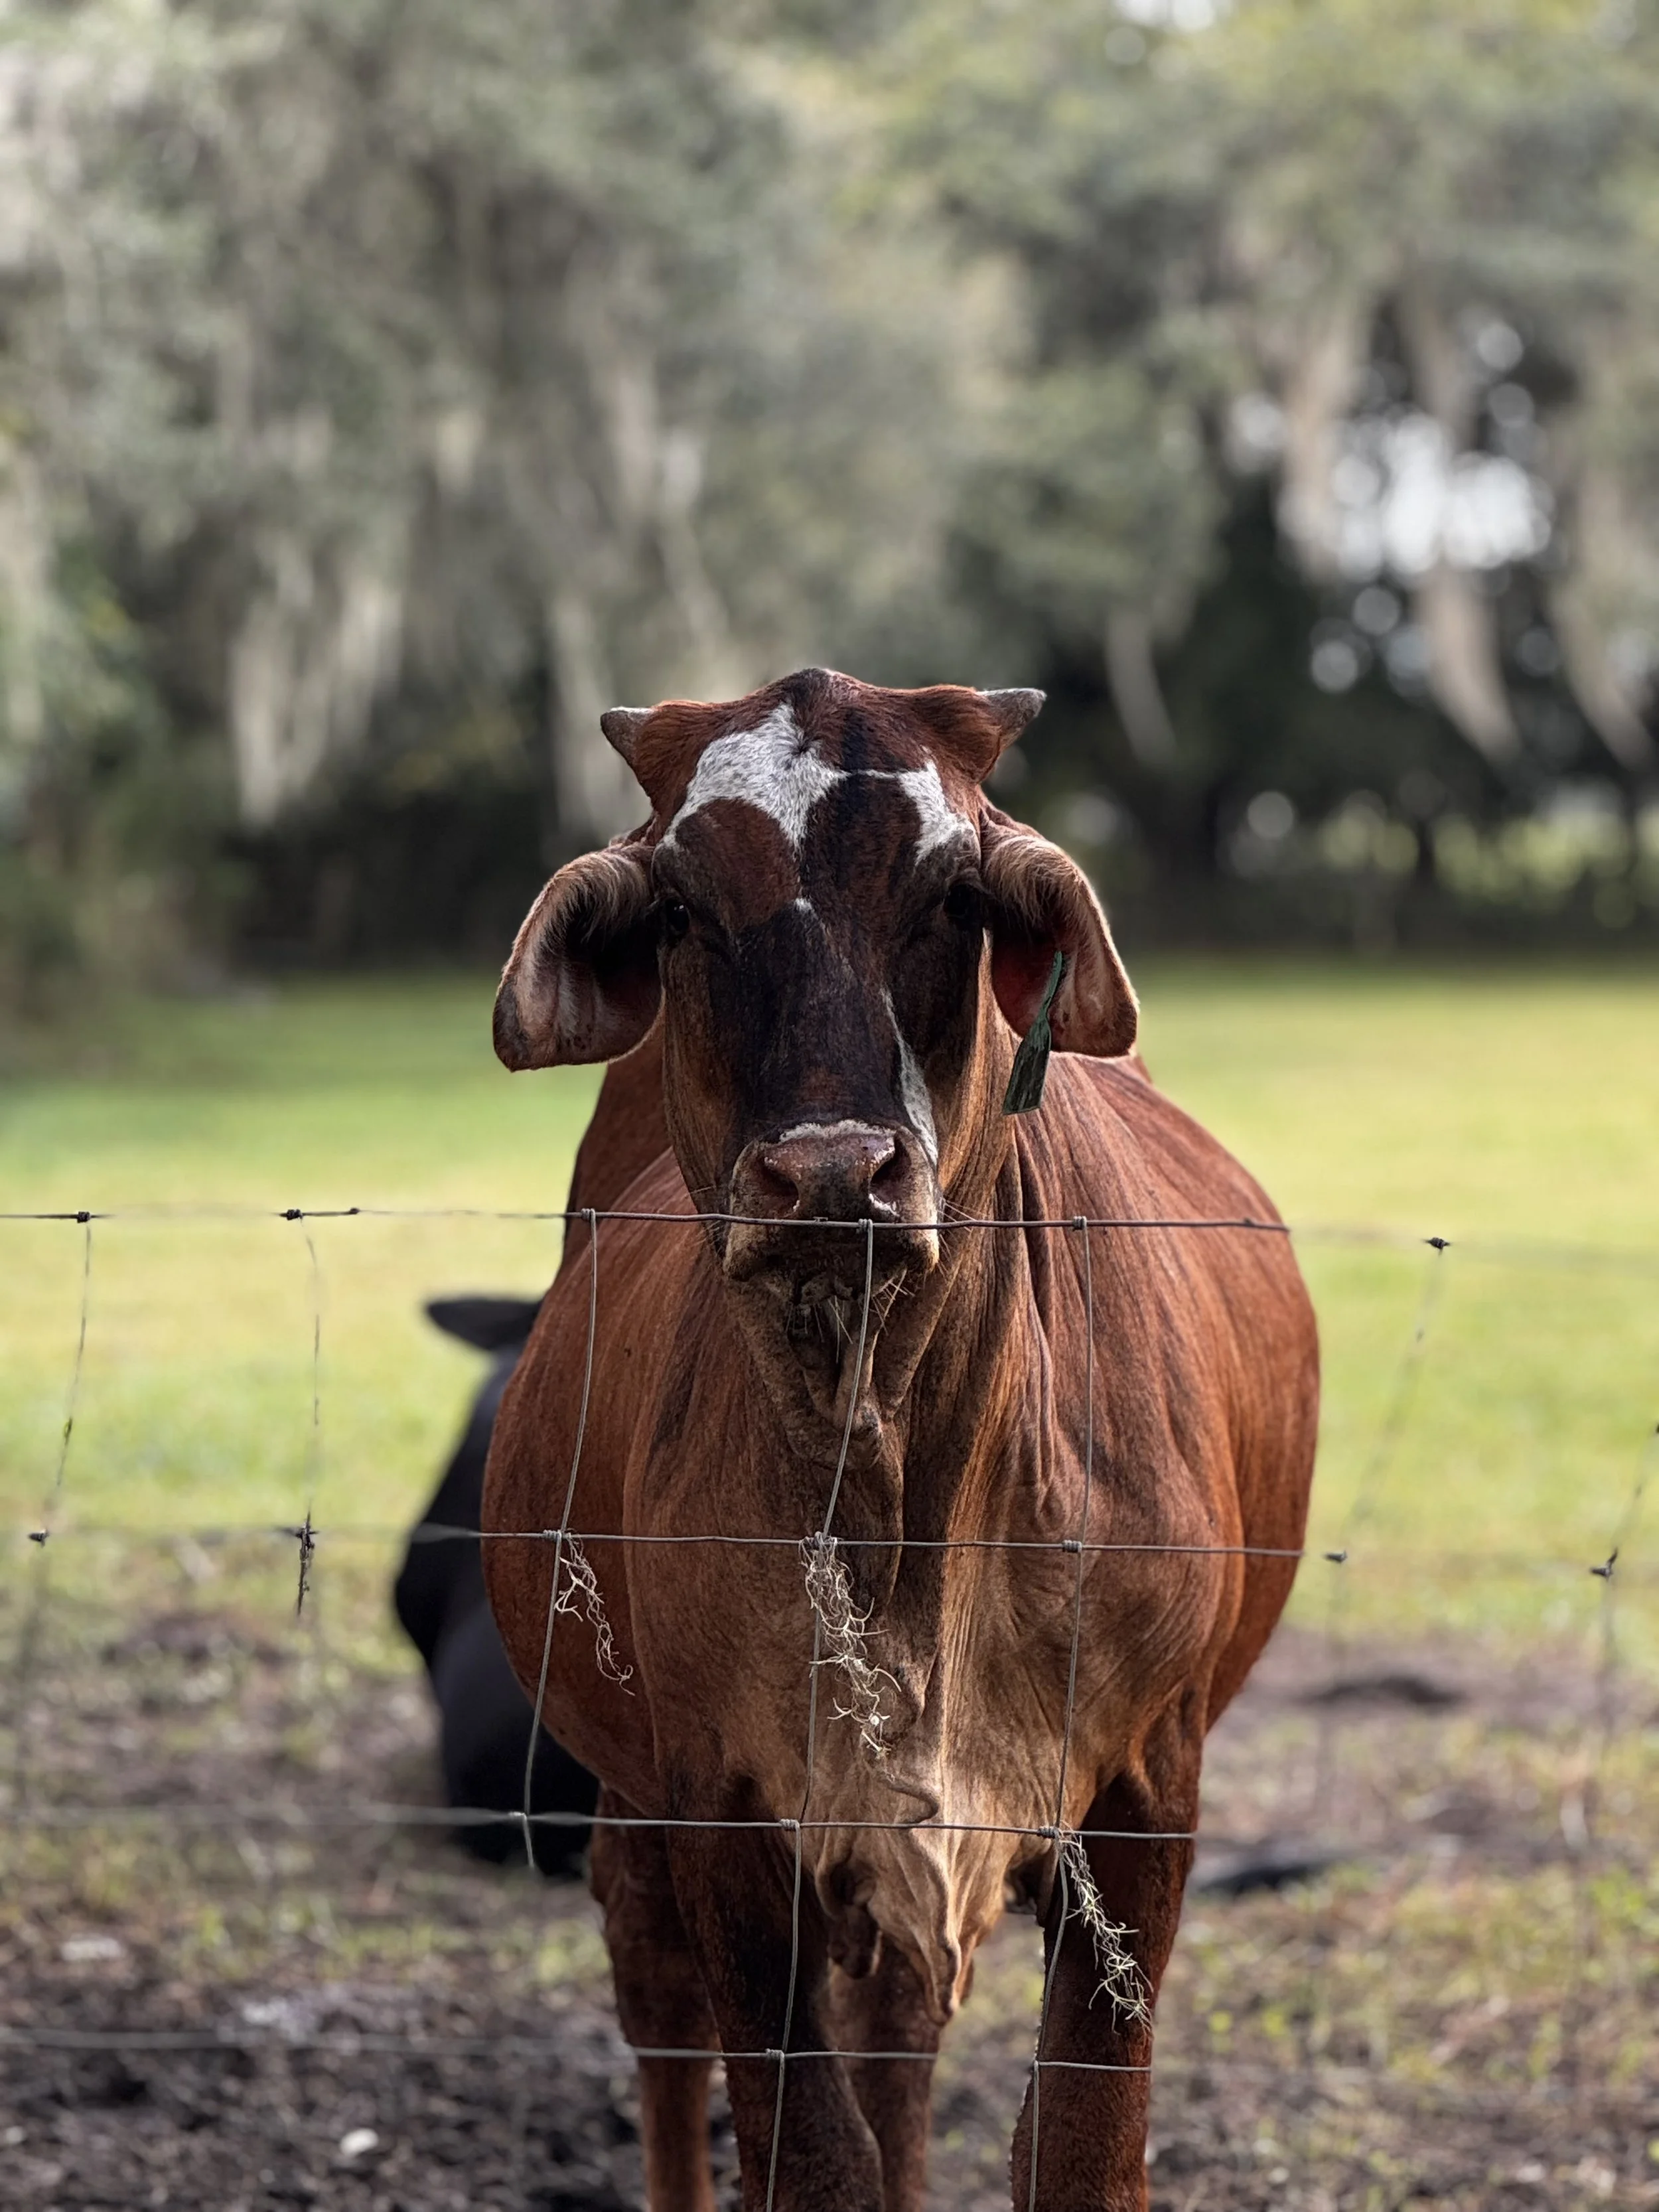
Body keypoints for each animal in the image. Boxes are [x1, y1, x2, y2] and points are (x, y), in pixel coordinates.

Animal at [482, 669, 1319, 2212]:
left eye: (956, 894)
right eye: (679, 907)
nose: (828, 1171)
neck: (891, 1487)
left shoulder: (1144, 1793)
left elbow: (1076, 2145)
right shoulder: (720, 1803)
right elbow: (806, 2151)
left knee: (893, 2037)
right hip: (642, 1810)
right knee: (661, 2003)